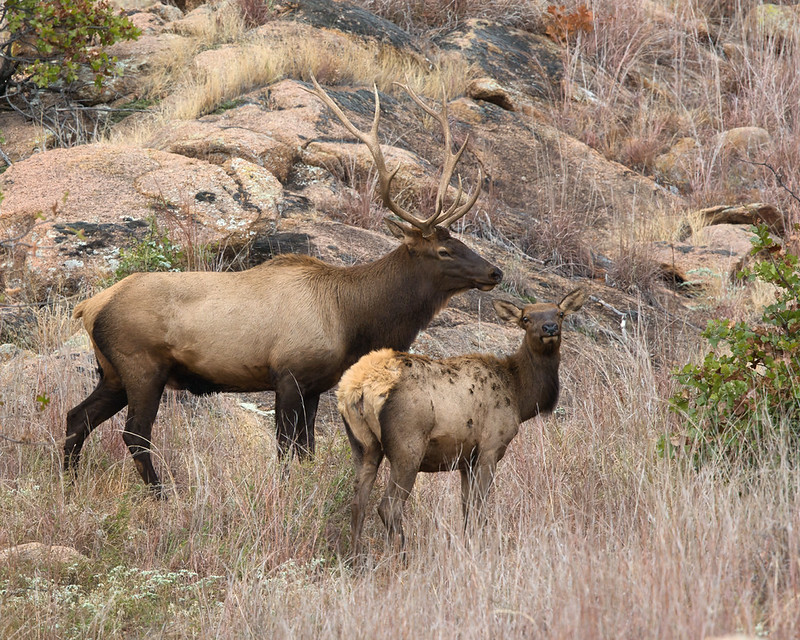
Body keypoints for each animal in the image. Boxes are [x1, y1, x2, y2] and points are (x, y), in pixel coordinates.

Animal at [64, 77, 503, 497]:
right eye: (444, 250)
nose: (495, 272)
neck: (352, 317)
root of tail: (89, 307)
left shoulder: (315, 386)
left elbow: (306, 450)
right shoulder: (289, 374)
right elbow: (285, 449)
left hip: (112, 372)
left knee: (76, 417)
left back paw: (69, 482)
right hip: (142, 365)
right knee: (134, 433)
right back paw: (162, 495)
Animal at [336, 288, 586, 561]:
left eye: (559, 313)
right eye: (526, 318)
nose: (549, 327)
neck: (520, 396)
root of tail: (358, 387)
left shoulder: (466, 458)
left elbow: (466, 507)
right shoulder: (490, 447)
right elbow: (479, 507)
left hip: (364, 445)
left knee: (358, 502)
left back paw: (355, 559)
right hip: (408, 445)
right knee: (388, 506)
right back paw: (402, 557)